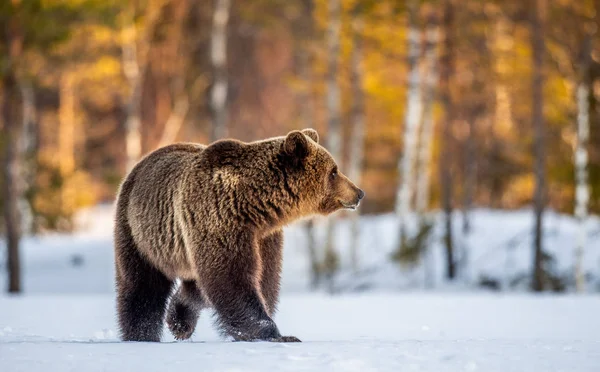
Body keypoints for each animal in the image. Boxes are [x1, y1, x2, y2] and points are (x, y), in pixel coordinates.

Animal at [114, 129, 364, 342]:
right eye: (334, 171)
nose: (359, 192)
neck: (253, 205)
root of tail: (141, 163)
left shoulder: (264, 237)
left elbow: (263, 278)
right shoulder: (219, 219)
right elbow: (232, 277)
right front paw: (273, 333)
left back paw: (180, 321)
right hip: (139, 232)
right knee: (142, 287)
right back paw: (141, 334)